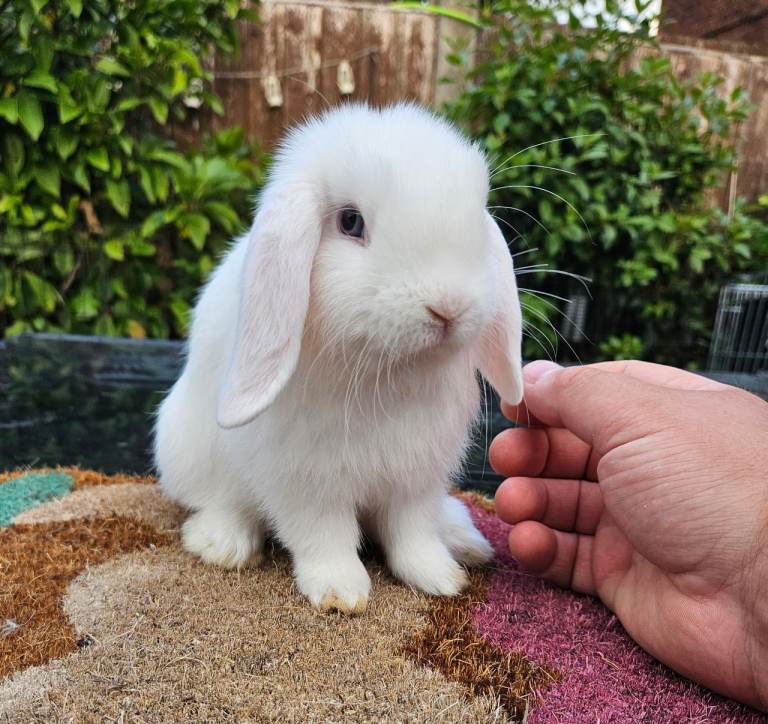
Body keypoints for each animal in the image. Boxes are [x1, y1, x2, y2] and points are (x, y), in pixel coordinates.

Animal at [154, 103, 523, 614]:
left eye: (475, 220)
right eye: (351, 222)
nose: (449, 307)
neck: (388, 374)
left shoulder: (416, 476)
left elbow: (412, 533)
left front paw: (440, 578)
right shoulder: (307, 478)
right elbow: (323, 534)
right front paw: (340, 593)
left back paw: (464, 541)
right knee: (224, 501)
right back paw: (221, 544)